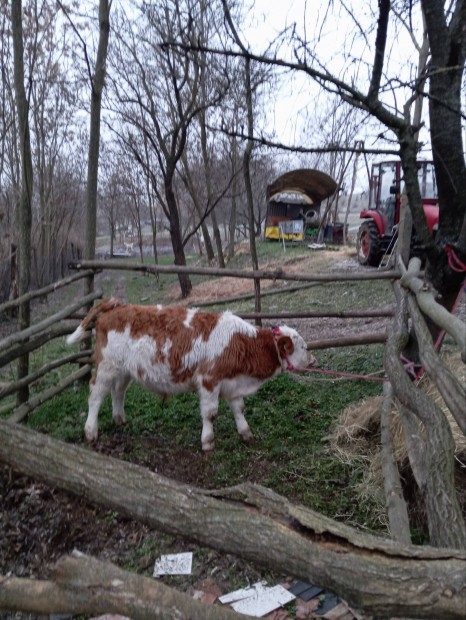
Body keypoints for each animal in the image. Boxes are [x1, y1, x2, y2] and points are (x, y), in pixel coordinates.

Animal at [65, 300, 312, 450]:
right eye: (303, 346)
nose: (314, 361)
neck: (239, 343)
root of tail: (116, 305)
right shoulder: (209, 380)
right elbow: (210, 414)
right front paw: (208, 442)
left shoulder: (232, 383)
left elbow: (239, 408)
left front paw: (246, 433)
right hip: (106, 367)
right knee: (96, 395)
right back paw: (91, 431)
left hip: (124, 370)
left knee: (118, 392)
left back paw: (119, 420)